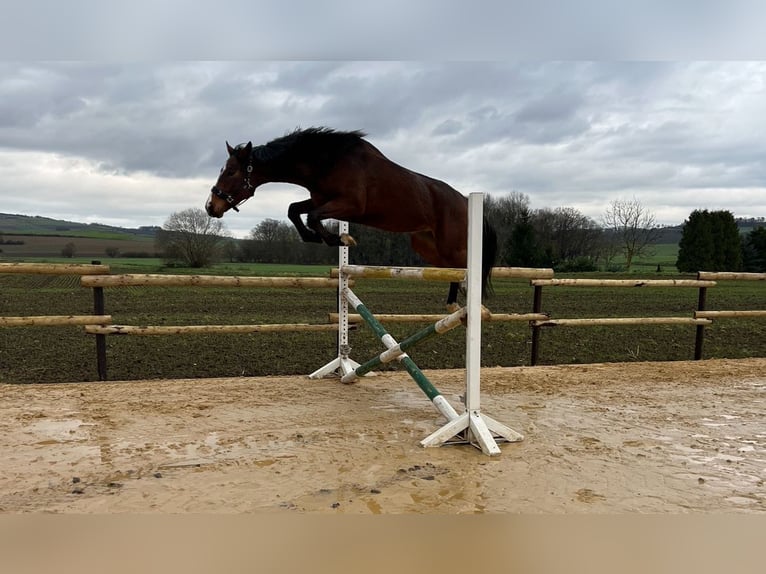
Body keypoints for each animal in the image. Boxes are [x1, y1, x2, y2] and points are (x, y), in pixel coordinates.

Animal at [207, 127, 500, 308]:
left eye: (231, 172)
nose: (211, 206)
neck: (328, 161)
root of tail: (464, 200)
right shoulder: (321, 199)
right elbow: (295, 210)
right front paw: (319, 238)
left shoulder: (350, 205)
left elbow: (312, 217)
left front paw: (340, 239)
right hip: (426, 246)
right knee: (454, 269)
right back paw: (453, 303)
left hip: (452, 245)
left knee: (467, 267)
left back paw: (469, 305)